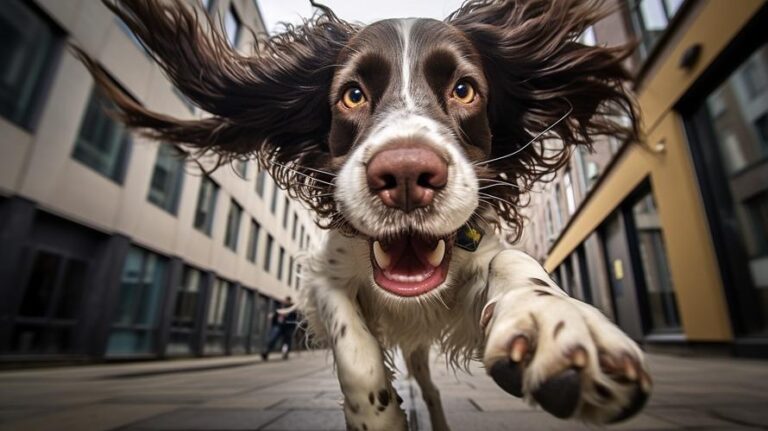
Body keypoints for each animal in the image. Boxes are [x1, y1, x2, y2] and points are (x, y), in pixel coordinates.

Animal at [78, 0, 652, 430]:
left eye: (463, 89)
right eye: (353, 95)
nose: (406, 175)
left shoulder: (475, 258)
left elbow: (515, 266)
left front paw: (557, 325)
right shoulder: (321, 281)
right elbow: (355, 352)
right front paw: (378, 417)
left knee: (431, 392)